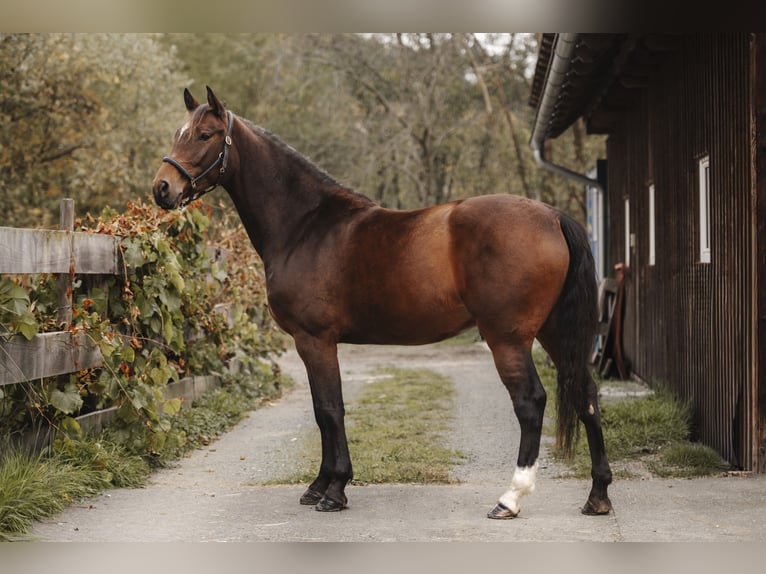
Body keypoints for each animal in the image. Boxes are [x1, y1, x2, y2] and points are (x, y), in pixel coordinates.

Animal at [152, 86, 613, 519]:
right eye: (177, 132)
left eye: (205, 134)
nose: (162, 188)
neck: (305, 226)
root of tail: (551, 215)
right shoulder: (314, 343)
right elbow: (321, 411)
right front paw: (319, 486)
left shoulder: (314, 340)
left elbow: (330, 410)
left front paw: (335, 491)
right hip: (553, 331)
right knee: (587, 394)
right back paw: (598, 495)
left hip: (508, 338)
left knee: (531, 402)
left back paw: (510, 499)